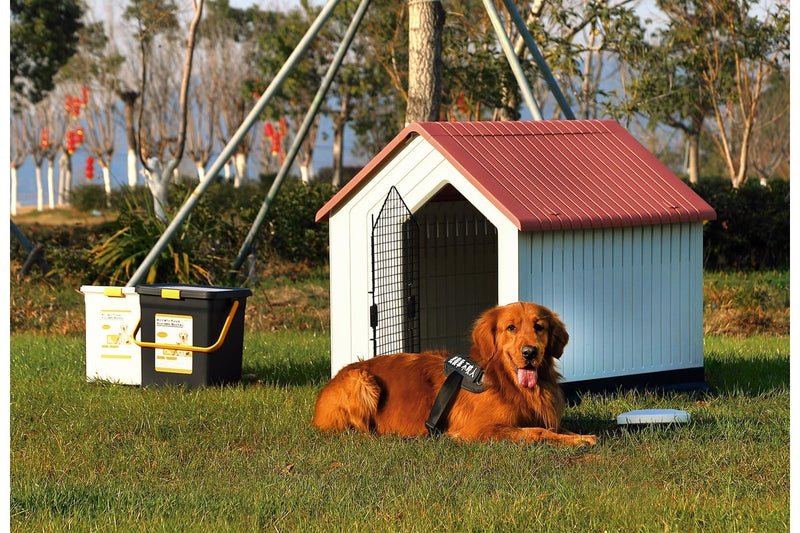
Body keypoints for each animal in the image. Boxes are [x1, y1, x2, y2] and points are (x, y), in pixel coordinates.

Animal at [316, 300, 596, 444]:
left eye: (539, 326)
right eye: (511, 327)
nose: (530, 352)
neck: (506, 381)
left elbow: (557, 429)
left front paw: (581, 436)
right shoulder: (480, 430)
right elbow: (537, 432)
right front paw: (576, 440)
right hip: (360, 381)